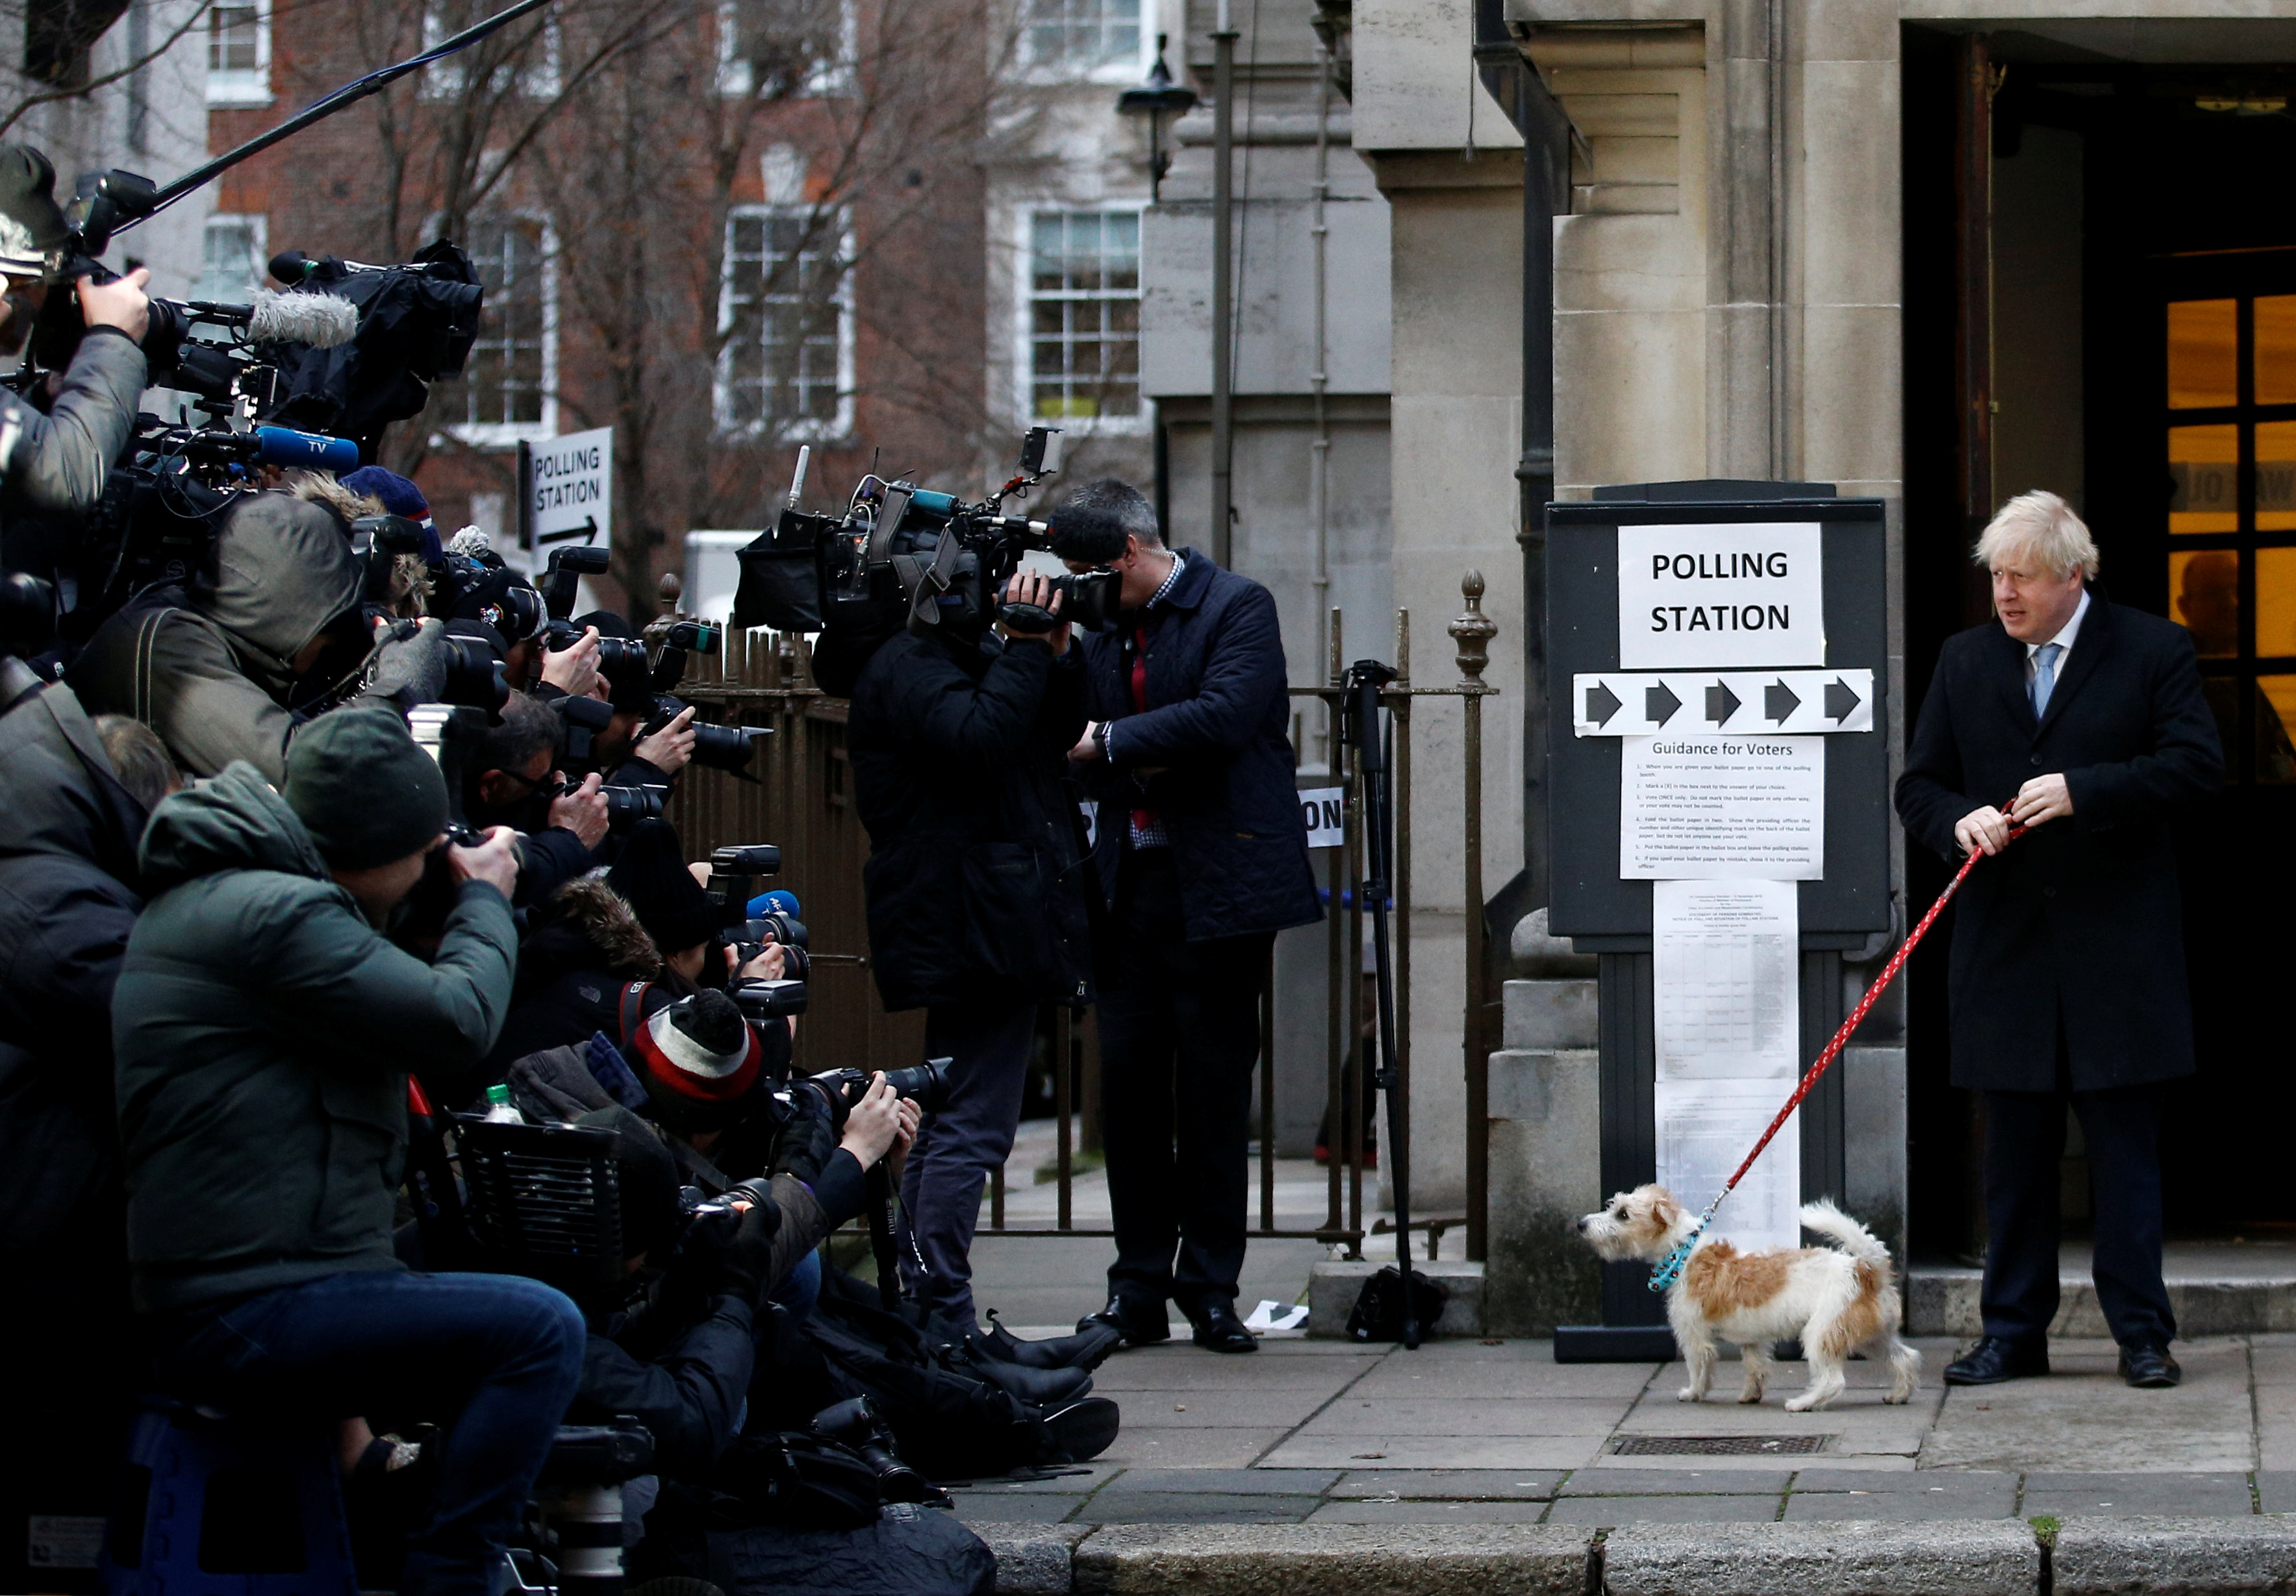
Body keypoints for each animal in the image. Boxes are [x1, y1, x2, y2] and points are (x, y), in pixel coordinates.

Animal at [1580, 1184, 1919, 1414]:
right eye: (1613, 1206)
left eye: (1623, 1214)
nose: (1582, 1224)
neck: (1684, 1253)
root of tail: (1864, 1268)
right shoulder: (1752, 1340)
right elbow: (1756, 1368)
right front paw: (1750, 1395)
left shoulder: (1693, 1336)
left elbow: (1698, 1368)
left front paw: (1693, 1393)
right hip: (1873, 1338)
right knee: (1905, 1358)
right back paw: (1898, 1395)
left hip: (1821, 1334)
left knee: (1833, 1381)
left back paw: (1803, 1402)